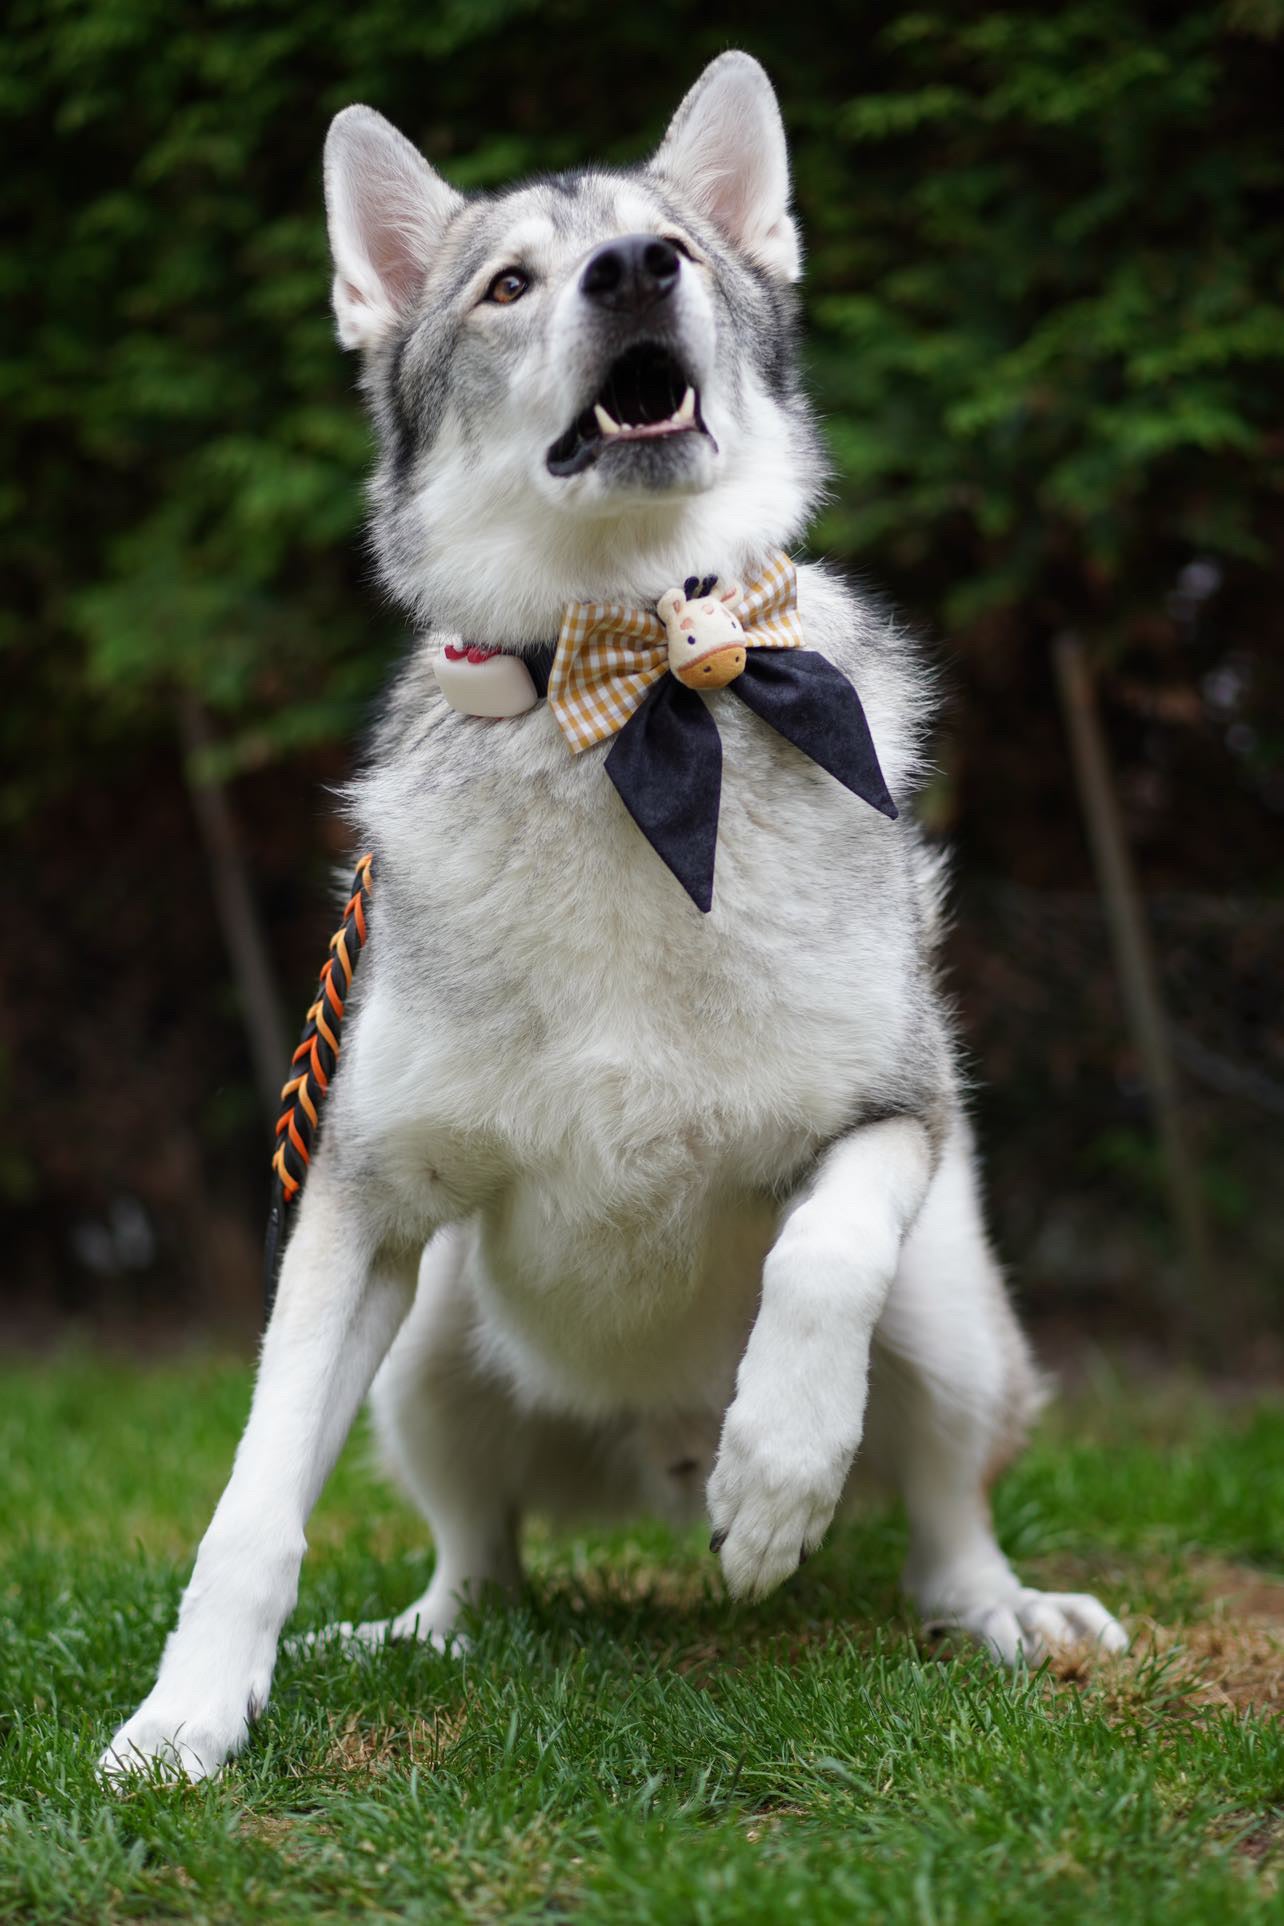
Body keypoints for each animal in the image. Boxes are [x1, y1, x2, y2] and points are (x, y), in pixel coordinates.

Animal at [100, 52, 1124, 1779]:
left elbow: (822, 1255)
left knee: (941, 1515)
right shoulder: (356, 1205)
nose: (635, 271)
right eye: (509, 282)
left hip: (954, 1307)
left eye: (680, 250)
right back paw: (420, 1632)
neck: (644, 691)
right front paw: (188, 1713)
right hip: (429, 1349)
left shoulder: (897, 1112)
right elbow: (251, 1498)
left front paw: (779, 1470)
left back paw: (992, 1607)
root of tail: (646, 1459)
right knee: (482, 1561)